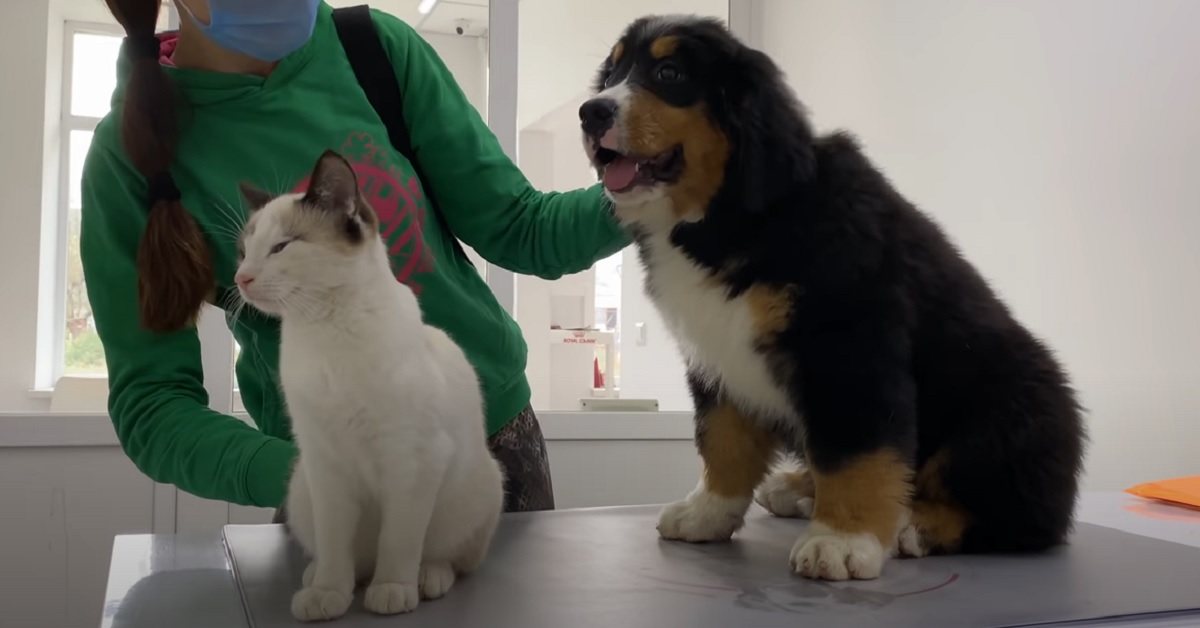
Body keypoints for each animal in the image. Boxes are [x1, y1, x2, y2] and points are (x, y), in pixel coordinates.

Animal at [231, 148, 504, 624]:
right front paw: (328, 594)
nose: (241, 279)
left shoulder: (410, 464)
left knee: (441, 555)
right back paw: (317, 578)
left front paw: (391, 590)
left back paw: (425, 578)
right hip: (302, 485)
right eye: (244, 251)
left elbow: (398, 542)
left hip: (477, 487)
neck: (325, 330)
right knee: (351, 558)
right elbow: (335, 546)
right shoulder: (326, 467)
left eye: (282, 247)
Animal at [578, 15, 1089, 585]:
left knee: (1022, 517)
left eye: (669, 73)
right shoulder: (718, 353)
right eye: (612, 74)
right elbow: (722, 440)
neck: (735, 215)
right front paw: (708, 511)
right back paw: (797, 488)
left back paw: (915, 525)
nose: (591, 112)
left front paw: (842, 539)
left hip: (1010, 414)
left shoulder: (848, 346)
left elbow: (855, 453)